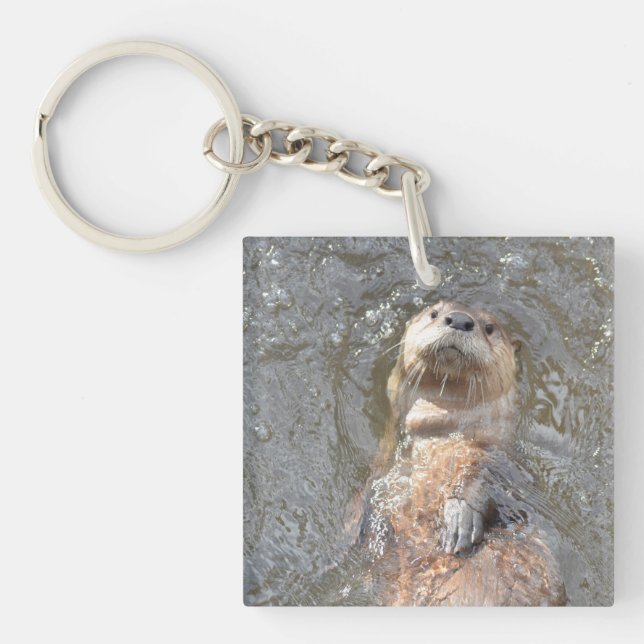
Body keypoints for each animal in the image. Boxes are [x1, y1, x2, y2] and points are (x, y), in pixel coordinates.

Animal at [357, 301, 566, 606]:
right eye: (434, 313)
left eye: (489, 327)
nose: (459, 319)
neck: (440, 433)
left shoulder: (499, 458)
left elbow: (480, 476)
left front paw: (459, 518)